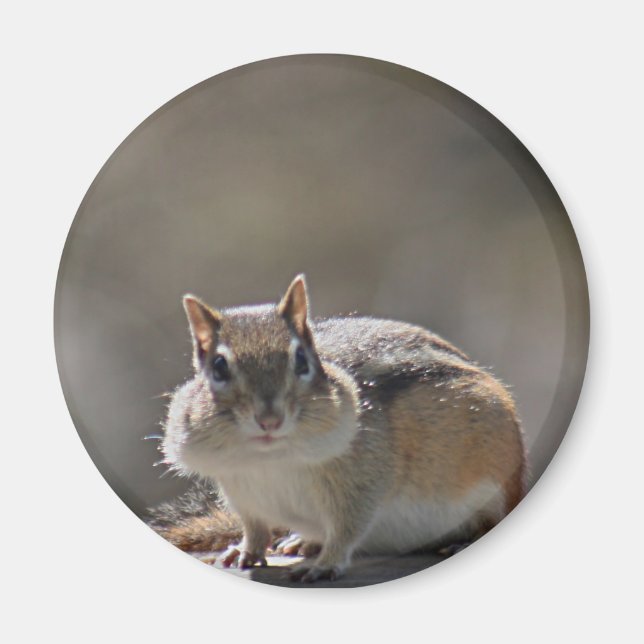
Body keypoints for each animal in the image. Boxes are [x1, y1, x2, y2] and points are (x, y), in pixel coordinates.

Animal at [153, 275, 527, 582]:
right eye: (218, 367)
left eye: (301, 361)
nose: (270, 420)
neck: (269, 459)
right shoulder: (238, 487)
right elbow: (254, 525)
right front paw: (245, 550)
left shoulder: (363, 478)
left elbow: (348, 526)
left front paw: (326, 564)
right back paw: (301, 541)